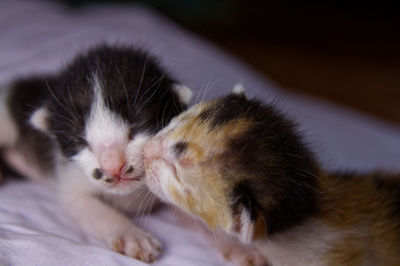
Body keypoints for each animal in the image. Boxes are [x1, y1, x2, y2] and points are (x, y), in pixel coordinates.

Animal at [0, 44, 192, 262]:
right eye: (80, 141)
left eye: (137, 127)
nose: (113, 167)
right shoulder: (70, 178)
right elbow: (92, 209)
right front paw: (131, 235)